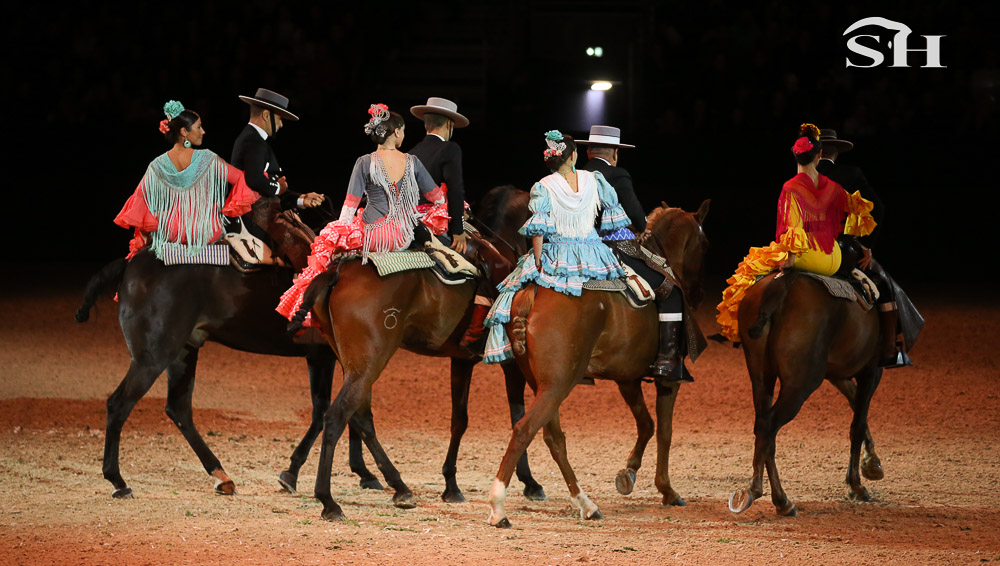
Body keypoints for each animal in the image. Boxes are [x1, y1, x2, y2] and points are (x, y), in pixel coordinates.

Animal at [72, 197, 386, 500]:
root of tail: (132, 262)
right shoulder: (329, 358)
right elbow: (338, 413)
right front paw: (298, 472)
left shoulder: (337, 359)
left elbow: (345, 412)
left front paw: (360, 472)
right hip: (152, 357)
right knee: (119, 404)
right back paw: (118, 480)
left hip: (183, 351)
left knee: (179, 409)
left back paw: (220, 475)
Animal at [486, 202, 712, 532]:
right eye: (704, 245)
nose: (698, 294)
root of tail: (532, 292)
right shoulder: (669, 380)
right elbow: (664, 431)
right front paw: (667, 490)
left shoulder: (627, 380)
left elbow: (646, 424)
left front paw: (628, 474)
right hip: (558, 385)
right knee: (524, 430)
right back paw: (499, 507)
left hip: (545, 385)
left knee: (554, 439)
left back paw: (586, 504)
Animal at [728, 270, 892, 520]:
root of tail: (783, 283)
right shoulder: (871, 371)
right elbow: (858, 423)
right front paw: (856, 485)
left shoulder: (838, 374)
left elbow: (855, 406)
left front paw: (872, 463)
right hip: (800, 384)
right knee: (769, 426)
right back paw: (762, 494)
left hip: (761, 377)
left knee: (764, 429)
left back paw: (782, 501)